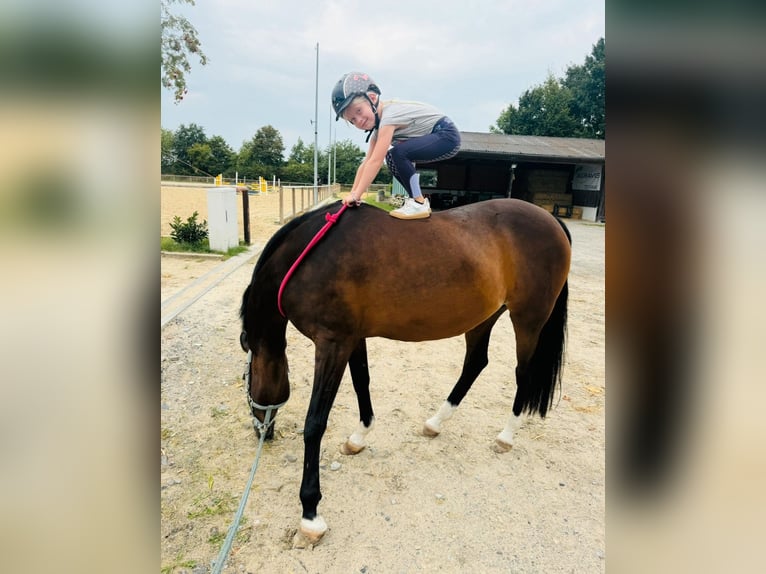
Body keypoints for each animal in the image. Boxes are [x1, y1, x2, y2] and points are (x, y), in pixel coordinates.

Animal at [240, 198, 568, 544]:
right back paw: (436, 422)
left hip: (528, 319)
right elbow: (362, 382)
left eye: (247, 376)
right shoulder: (352, 339)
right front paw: (359, 437)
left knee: (523, 373)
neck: (307, 257)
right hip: (485, 315)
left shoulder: (332, 343)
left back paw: (505, 436)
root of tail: (551, 220)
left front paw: (310, 511)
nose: (261, 431)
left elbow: (315, 422)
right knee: (476, 362)